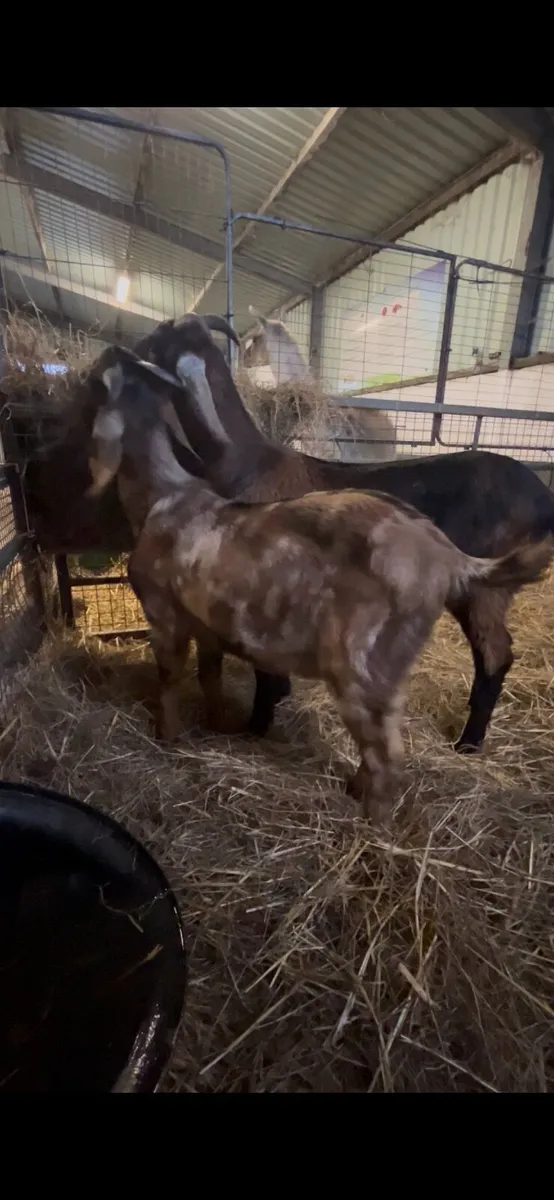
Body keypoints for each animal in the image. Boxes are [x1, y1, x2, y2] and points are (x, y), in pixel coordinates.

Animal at [87, 350, 552, 826]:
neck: (165, 494)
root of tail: (448, 556)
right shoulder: (206, 623)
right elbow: (209, 675)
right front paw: (218, 726)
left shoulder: (162, 612)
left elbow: (168, 677)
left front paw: (167, 733)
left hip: (364, 659)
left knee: (392, 750)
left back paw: (373, 823)